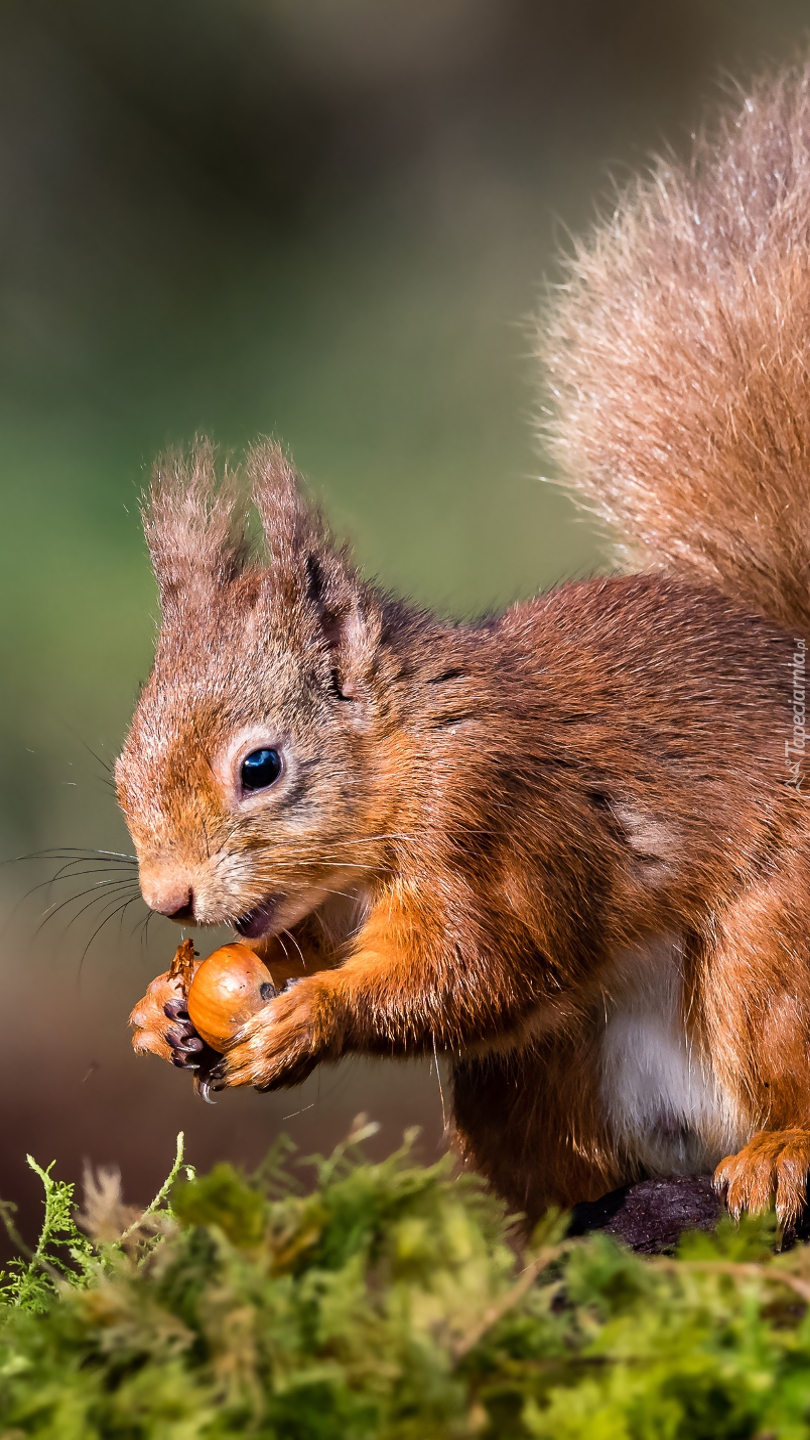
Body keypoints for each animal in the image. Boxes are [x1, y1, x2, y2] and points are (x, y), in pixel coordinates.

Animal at [121, 59, 810, 1226]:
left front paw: (318, 1016)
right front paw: (157, 1017)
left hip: (780, 949)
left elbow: (485, 963)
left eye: (260, 767)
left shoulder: (501, 814)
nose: (170, 900)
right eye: (120, 771)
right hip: (532, 1086)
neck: (403, 758)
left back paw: (782, 1153)